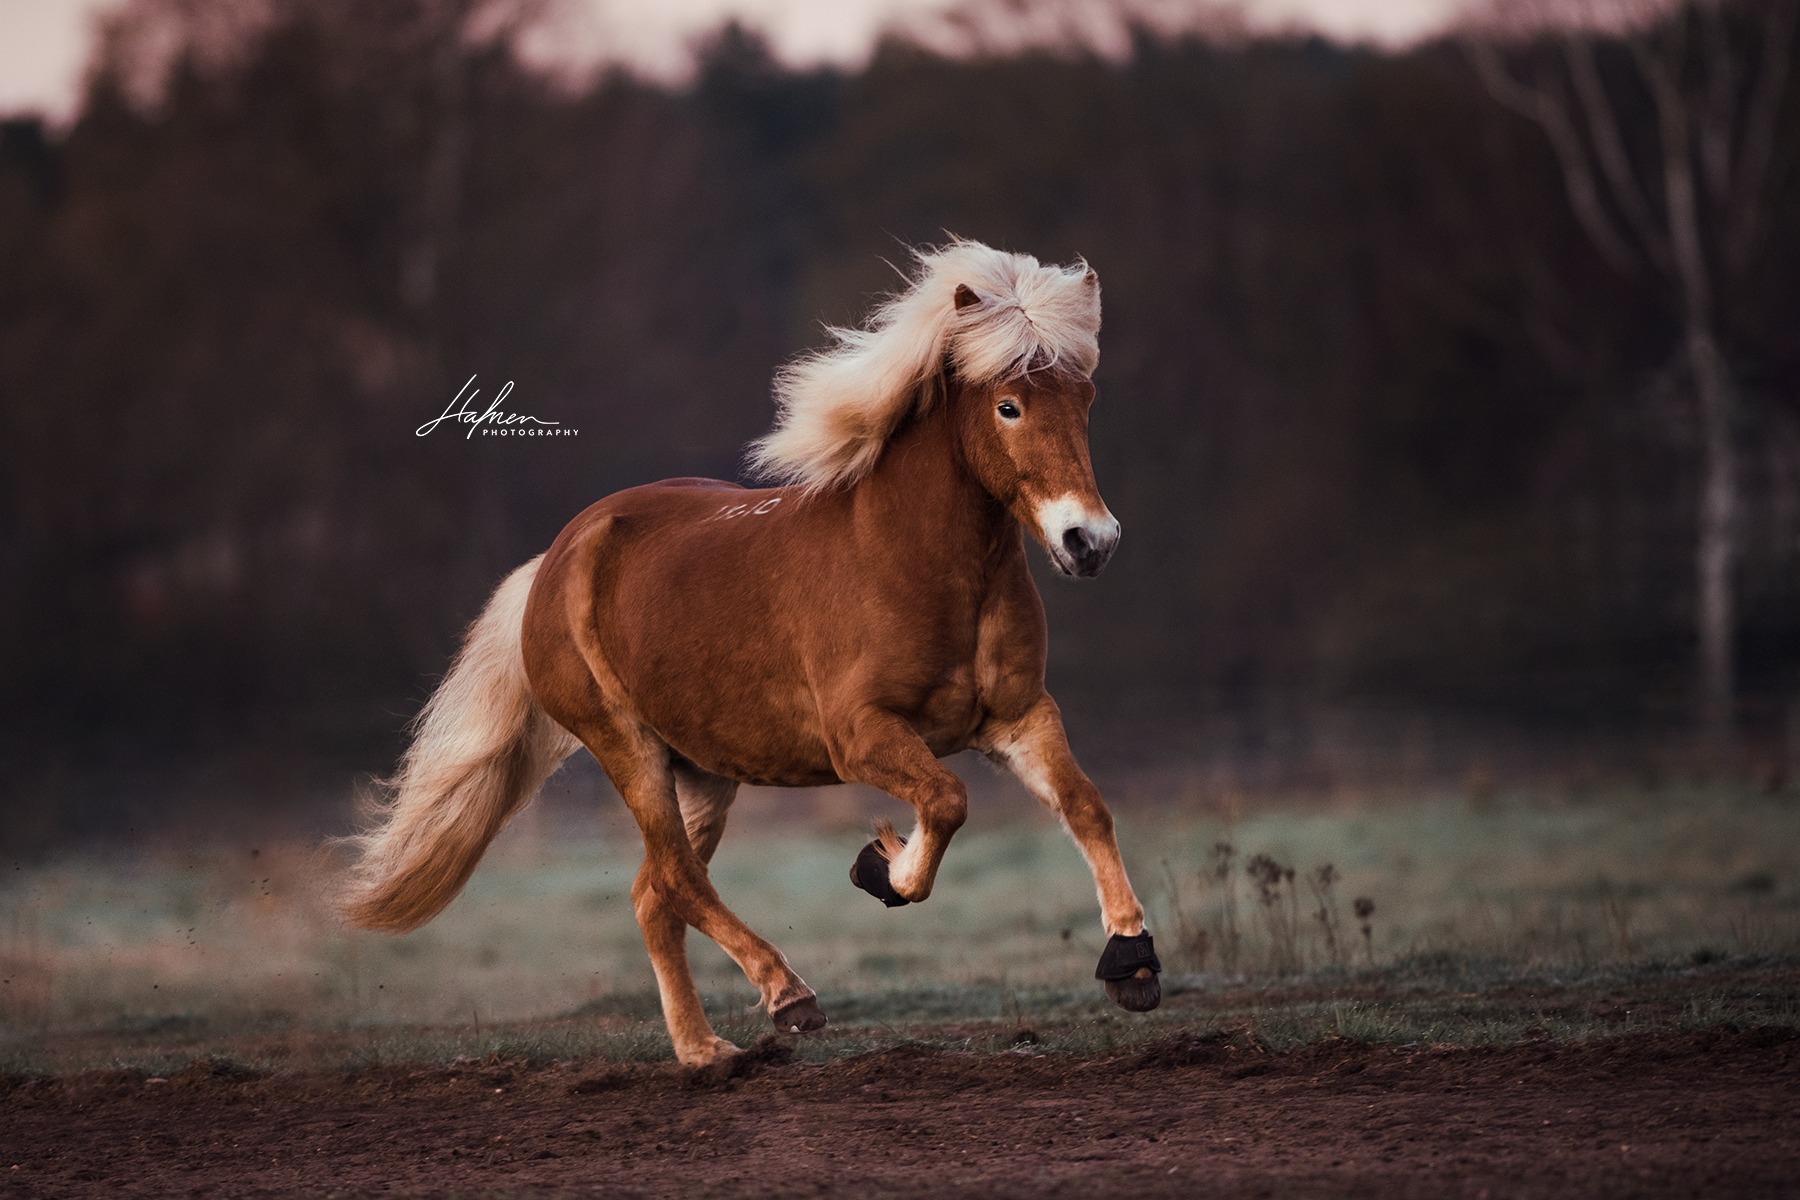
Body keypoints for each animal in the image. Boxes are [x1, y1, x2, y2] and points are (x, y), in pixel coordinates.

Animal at [342, 239, 1159, 1065]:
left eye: (1085, 397)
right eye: (1009, 405)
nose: (1089, 541)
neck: (916, 563)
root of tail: (556, 558)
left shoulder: (1018, 716)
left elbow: (1086, 807)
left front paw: (1131, 961)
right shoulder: (860, 736)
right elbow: (946, 801)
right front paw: (881, 868)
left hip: (703, 770)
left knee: (654, 894)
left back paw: (705, 1052)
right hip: (628, 748)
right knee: (677, 880)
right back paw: (787, 996)